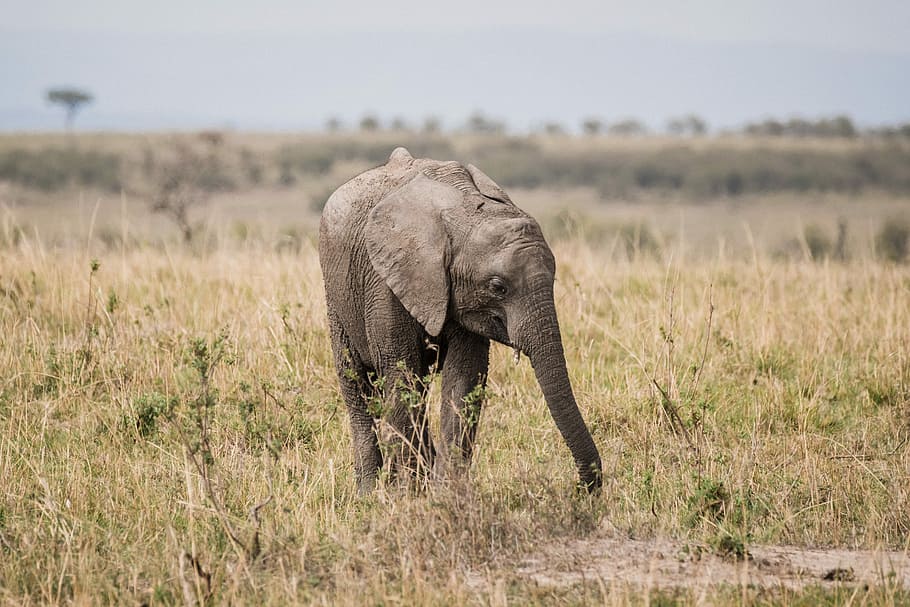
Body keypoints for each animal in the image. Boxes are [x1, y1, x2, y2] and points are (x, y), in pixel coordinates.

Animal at [318, 147, 602, 492]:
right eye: (498, 287)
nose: (581, 489)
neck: (466, 214)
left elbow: (463, 378)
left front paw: (444, 492)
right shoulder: (384, 282)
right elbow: (400, 374)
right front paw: (408, 495)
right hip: (337, 297)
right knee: (357, 383)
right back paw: (369, 492)